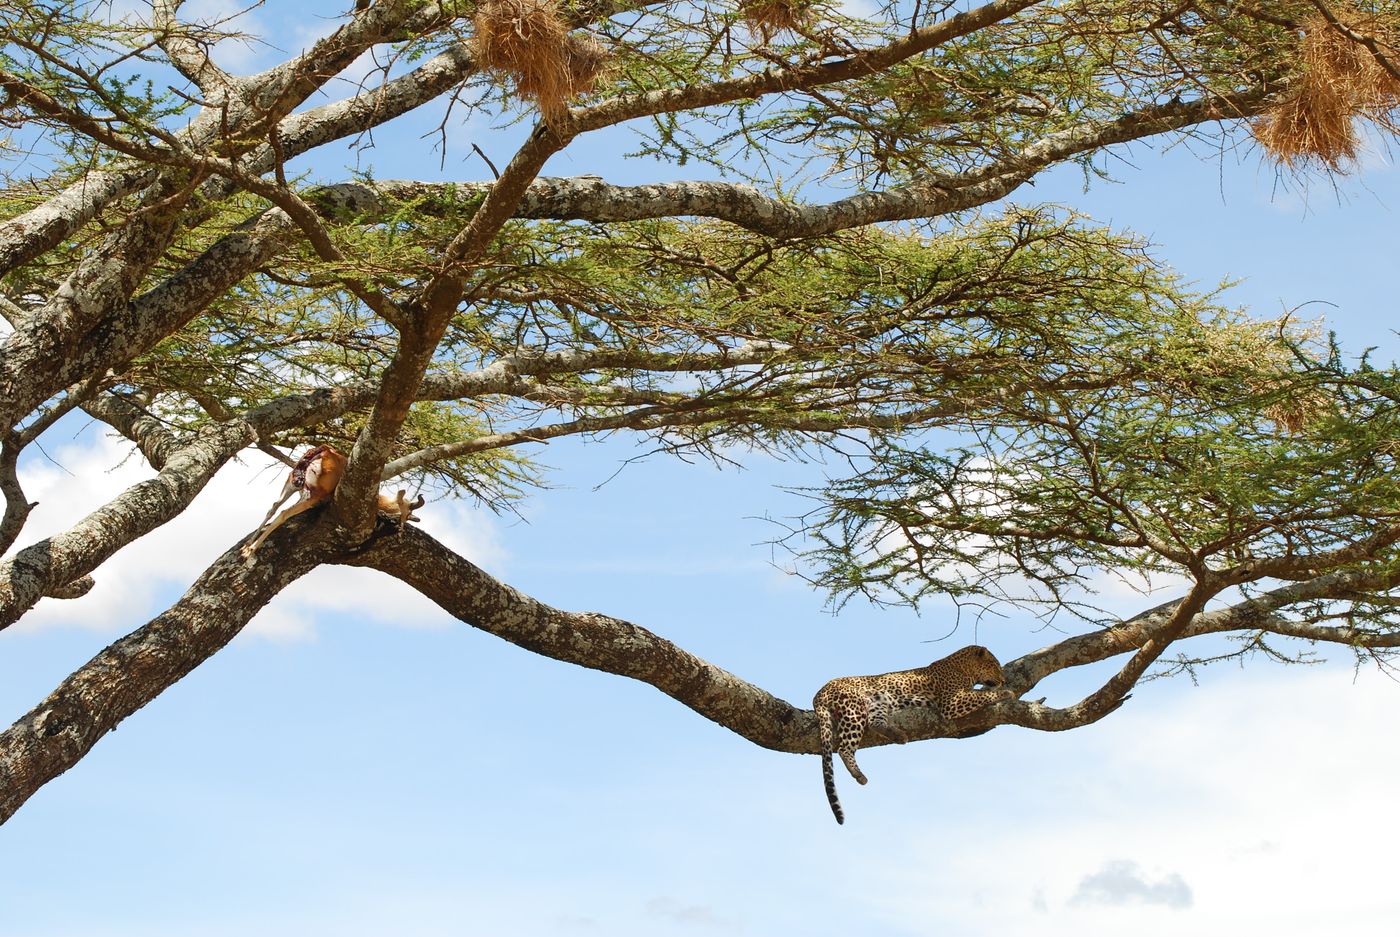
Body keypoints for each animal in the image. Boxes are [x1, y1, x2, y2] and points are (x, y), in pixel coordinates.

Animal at [812, 645, 1010, 824]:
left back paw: (898, 735)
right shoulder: (951, 702)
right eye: (994, 664)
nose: (1003, 680)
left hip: (878, 702)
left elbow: (978, 693)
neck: (963, 668)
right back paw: (859, 774)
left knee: (875, 723)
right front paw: (1006, 692)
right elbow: (978, 695)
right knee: (844, 748)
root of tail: (819, 693)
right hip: (854, 709)